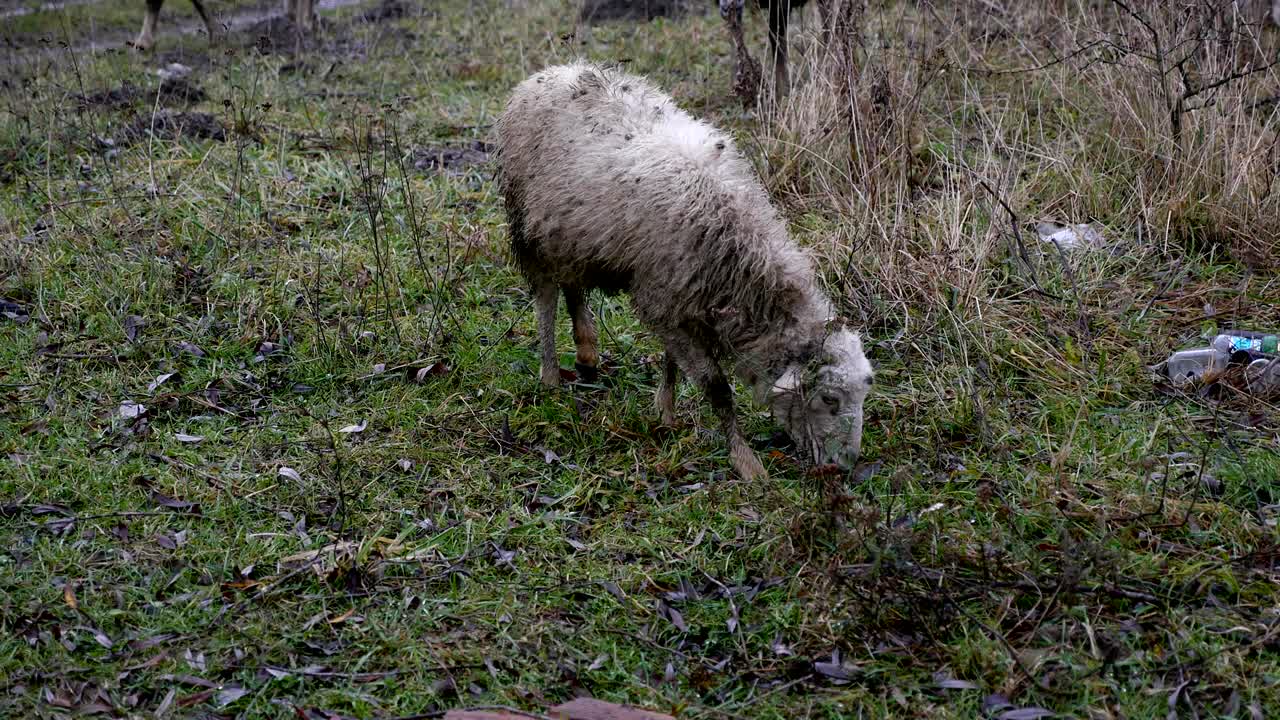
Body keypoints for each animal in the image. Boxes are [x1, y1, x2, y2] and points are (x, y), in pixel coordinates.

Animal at [496, 61, 874, 480]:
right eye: (829, 398)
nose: (846, 466)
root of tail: (554, 70)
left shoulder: (677, 295)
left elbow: (671, 360)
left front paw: (666, 413)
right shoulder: (665, 298)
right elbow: (717, 388)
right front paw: (746, 462)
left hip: (572, 235)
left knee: (573, 286)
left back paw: (587, 352)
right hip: (529, 227)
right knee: (546, 296)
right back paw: (550, 378)